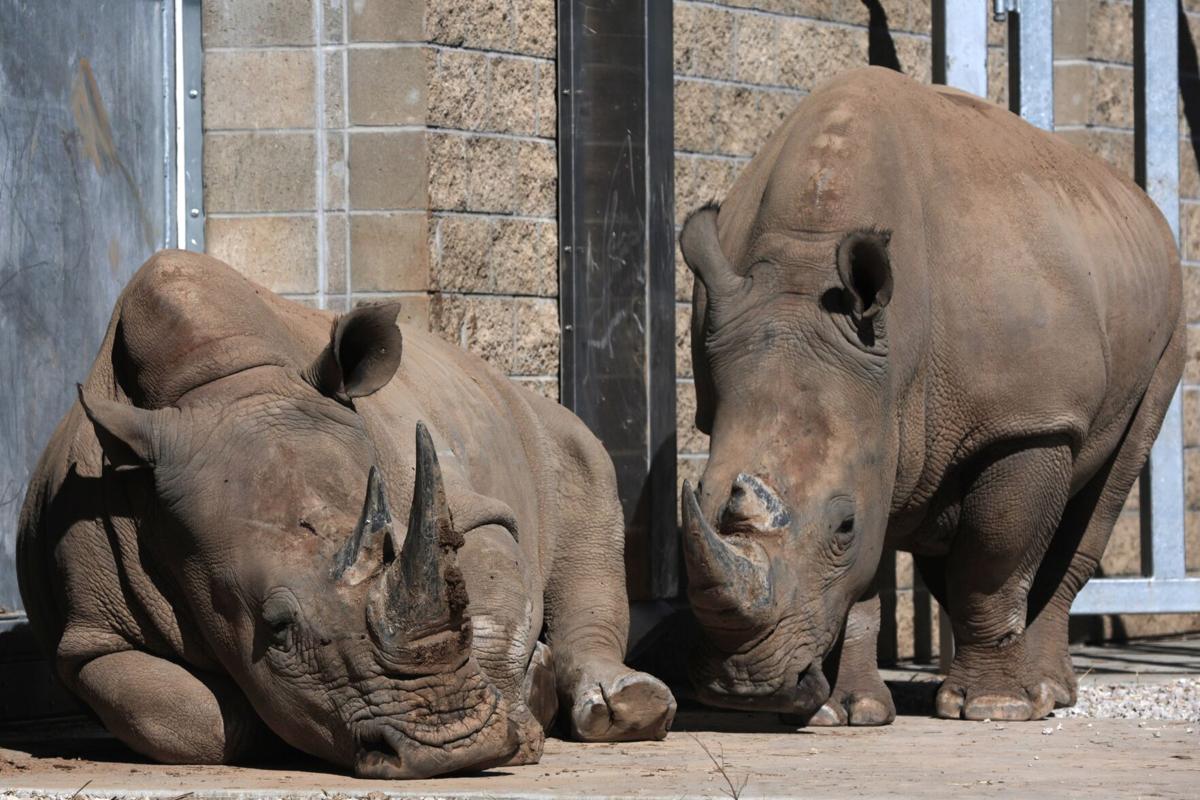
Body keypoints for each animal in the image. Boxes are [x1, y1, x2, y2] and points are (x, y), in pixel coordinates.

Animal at [17, 251, 675, 777]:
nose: (451, 750)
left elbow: (491, 595)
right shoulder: (93, 632)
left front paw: (518, 728)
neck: (223, 381)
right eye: (276, 628)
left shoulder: (462, 506)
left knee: (587, 478)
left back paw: (624, 707)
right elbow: (194, 719)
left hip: (538, 421)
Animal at [678, 68, 1182, 724]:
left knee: (1103, 490)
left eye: (842, 525)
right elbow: (869, 577)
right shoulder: (867, 418)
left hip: (1169, 327)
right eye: (701, 496)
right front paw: (849, 714)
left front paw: (996, 708)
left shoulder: (1026, 419)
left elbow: (994, 556)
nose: (744, 687)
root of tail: (1138, 200)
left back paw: (1048, 694)